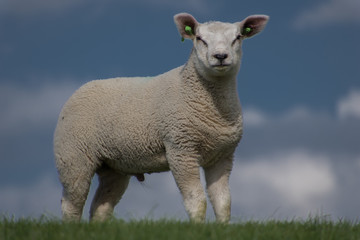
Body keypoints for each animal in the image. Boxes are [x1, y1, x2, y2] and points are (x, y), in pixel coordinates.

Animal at [52, 12, 268, 223]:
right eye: (200, 38)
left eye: (238, 37)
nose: (220, 56)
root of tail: (81, 89)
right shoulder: (181, 149)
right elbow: (196, 201)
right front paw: (197, 227)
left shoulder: (222, 156)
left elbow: (223, 202)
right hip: (73, 157)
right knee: (71, 204)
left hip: (114, 165)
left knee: (101, 206)